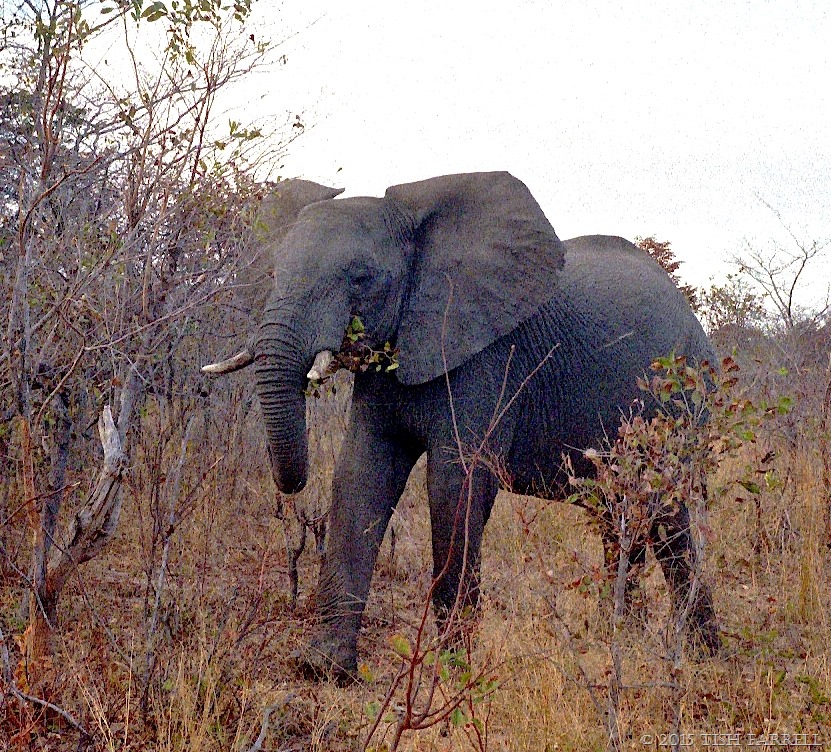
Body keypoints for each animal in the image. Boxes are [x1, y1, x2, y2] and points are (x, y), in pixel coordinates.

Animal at [204, 171, 720, 678]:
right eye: (274, 273)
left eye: (362, 279)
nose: (291, 488)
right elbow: (361, 474)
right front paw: (321, 666)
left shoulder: (488, 359)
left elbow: (456, 485)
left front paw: (452, 672)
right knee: (620, 513)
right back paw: (619, 638)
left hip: (681, 402)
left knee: (668, 517)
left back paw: (701, 658)